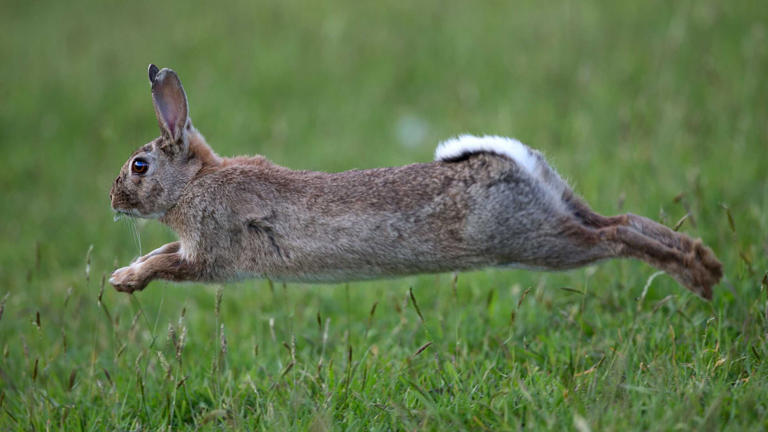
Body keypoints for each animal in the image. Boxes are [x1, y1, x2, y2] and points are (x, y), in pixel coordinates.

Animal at [109, 64, 723, 299]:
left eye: (139, 166)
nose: (112, 199)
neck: (194, 180)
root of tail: (516, 162)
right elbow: (161, 251)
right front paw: (121, 276)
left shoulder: (212, 253)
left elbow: (168, 263)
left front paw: (125, 282)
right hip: (557, 211)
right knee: (623, 221)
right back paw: (706, 265)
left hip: (535, 241)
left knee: (612, 239)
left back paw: (694, 276)